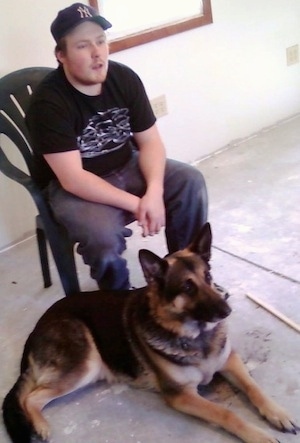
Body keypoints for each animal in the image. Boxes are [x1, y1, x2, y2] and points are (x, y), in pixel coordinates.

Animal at [1, 224, 298, 443]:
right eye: (187, 287)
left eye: (208, 277)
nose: (227, 310)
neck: (195, 337)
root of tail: (38, 325)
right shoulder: (182, 395)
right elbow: (226, 414)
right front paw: (257, 435)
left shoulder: (231, 360)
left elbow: (253, 387)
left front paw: (277, 413)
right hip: (86, 362)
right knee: (30, 397)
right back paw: (40, 425)